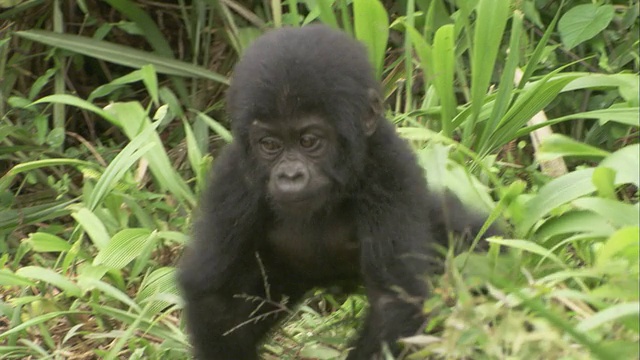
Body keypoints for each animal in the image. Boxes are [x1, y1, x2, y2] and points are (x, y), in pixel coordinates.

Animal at [180, 23, 496, 358]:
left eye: (309, 141)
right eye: (270, 145)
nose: (290, 175)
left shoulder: (390, 168)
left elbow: (394, 300)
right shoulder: (234, 180)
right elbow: (215, 296)